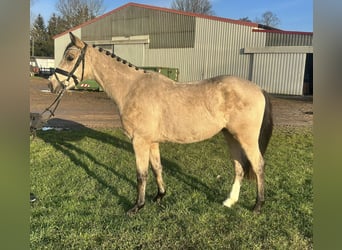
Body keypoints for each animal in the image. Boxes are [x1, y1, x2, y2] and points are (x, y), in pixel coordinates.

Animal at [47, 32, 272, 214]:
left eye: (70, 57)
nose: (51, 84)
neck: (132, 88)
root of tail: (258, 89)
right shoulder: (152, 142)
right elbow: (157, 168)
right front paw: (159, 196)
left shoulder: (139, 141)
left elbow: (141, 174)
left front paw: (137, 206)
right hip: (231, 136)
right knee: (239, 167)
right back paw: (229, 201)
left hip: (246, 138)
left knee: (258, 165)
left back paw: (258, 206)